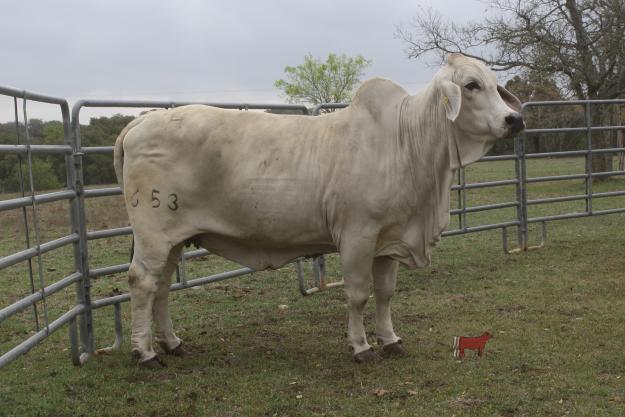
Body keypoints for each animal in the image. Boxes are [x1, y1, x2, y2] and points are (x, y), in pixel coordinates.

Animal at [113, 54, 524, 367]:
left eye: (494, 84)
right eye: (471, 85)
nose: (514, 119)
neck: (407, 142)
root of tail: (141, 121)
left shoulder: (389, 240)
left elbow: (385, 293)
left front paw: (391, 339)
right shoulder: (358, 236)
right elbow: (358, 294)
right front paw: (361, 346)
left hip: (173, 240)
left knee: (163, 286)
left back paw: (172, 343)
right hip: (153, 234)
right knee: (143, 282)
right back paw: (146, 353)